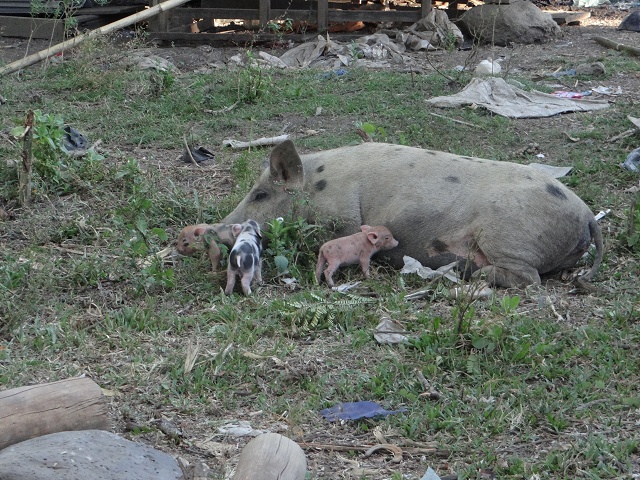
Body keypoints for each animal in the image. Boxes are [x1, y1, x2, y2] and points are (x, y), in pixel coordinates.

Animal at [216, 140, 603, 288]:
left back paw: (469, 275)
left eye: (260, 194)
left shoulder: (340, 220)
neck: (316, 187)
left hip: (508, 236)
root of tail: (586, 214)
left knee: (529, 278)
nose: (221, 228)